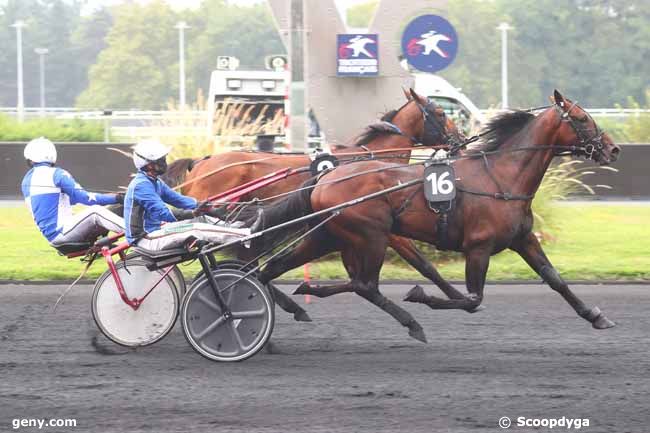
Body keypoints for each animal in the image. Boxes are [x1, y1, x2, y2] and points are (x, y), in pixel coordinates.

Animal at [161, 88, 466, 324]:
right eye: (441, 113)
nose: (461, 141)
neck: (373, 162)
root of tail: (200, 162)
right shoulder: (385, 228)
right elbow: (424, 265)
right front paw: (457, 297)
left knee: (249, 266)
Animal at [248, 90, 616, 340]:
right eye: (582, 119)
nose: (612, 148)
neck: (500, 176)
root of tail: (326, 177)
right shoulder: (479, 247)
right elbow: (471, 299)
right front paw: (422, 295)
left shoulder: (523, 239)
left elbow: (555, 279)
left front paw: (596, 315)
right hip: (370, 236)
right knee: (364, 284)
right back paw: (410, 322)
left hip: (329, 235)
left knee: (277, 269)